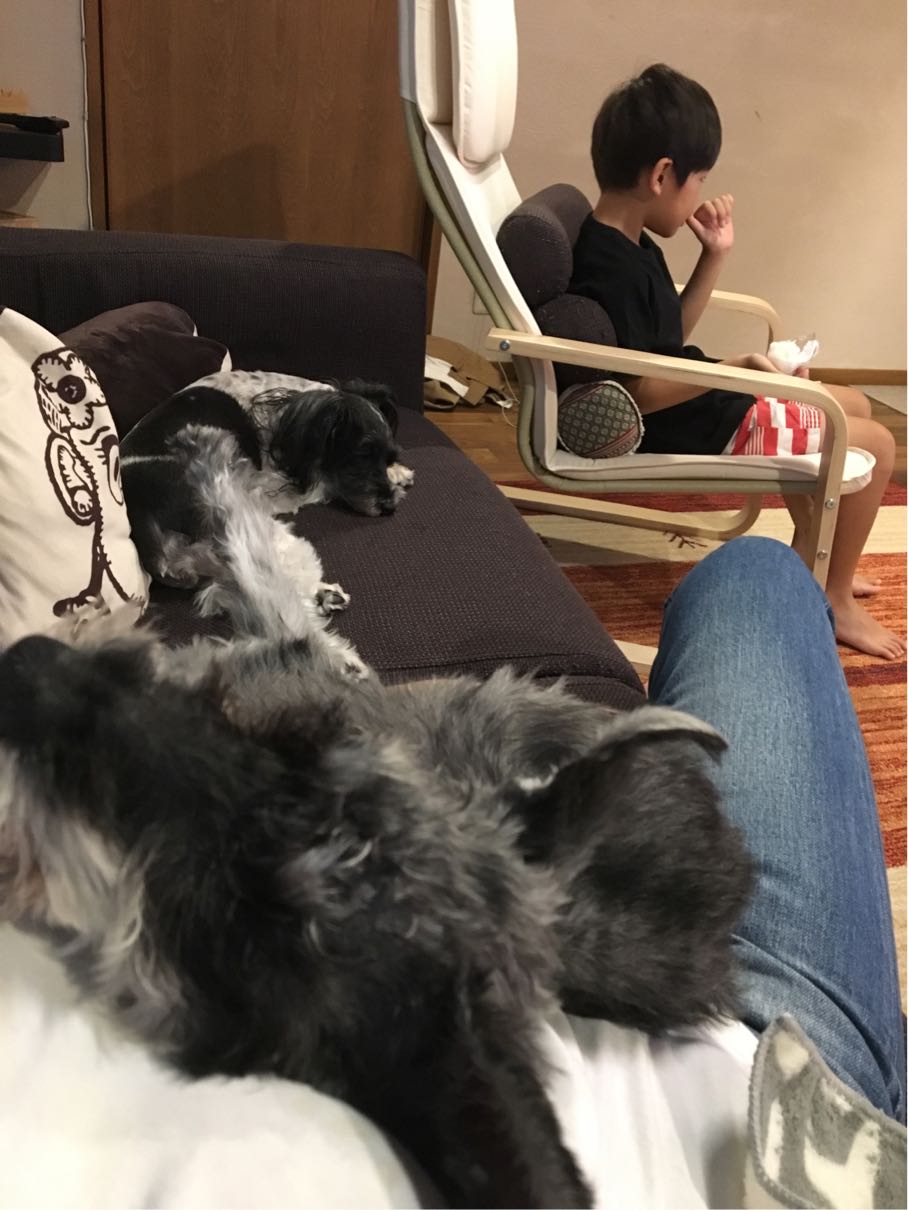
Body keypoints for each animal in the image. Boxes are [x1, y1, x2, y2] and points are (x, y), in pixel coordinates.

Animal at [120, 370, 413, 589]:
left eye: (389, 456)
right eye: (361, 456)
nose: (389, 506)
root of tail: (138, 509)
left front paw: (398, 472)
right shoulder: (276, 482)